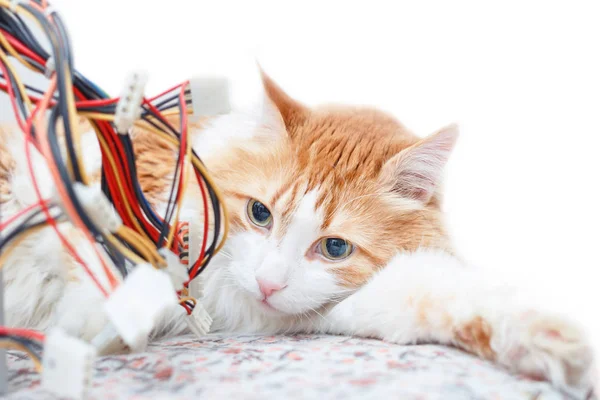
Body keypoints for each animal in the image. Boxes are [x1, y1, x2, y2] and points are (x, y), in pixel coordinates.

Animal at [0, 70, 592, 396]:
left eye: (334, 247)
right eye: (260, 213)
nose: (267, 283)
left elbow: (451, 297)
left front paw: (555, 348)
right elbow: (94, 236)